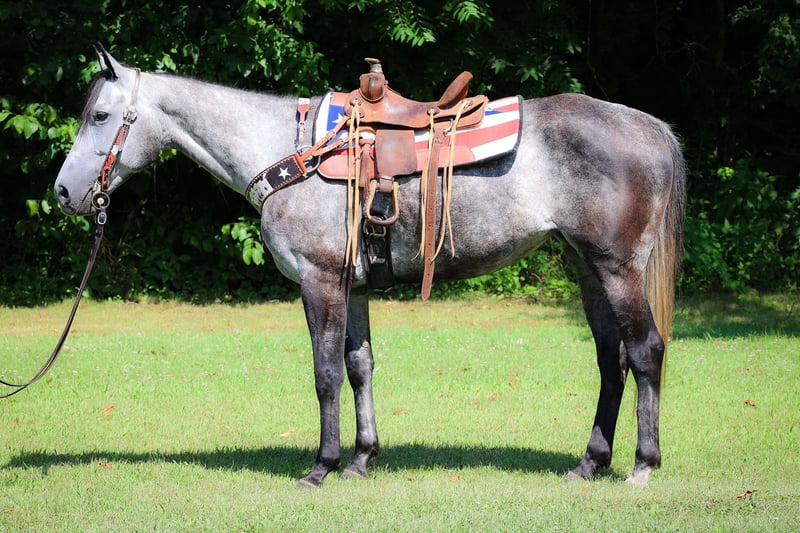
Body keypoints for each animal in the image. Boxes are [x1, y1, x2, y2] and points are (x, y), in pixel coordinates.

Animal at [54, 47, 685, 488]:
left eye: (101, 115)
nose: (62, 192)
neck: (292, 153)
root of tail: (649, 126)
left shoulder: (319, 281)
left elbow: (325, 373)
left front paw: (322, 465)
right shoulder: (350, 286)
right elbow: (359, 367)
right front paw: (361, 458)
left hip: (617, 268)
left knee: (644, 351)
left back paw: (642, 464)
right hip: (587, 268)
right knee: (611, 361)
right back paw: (590, 463)